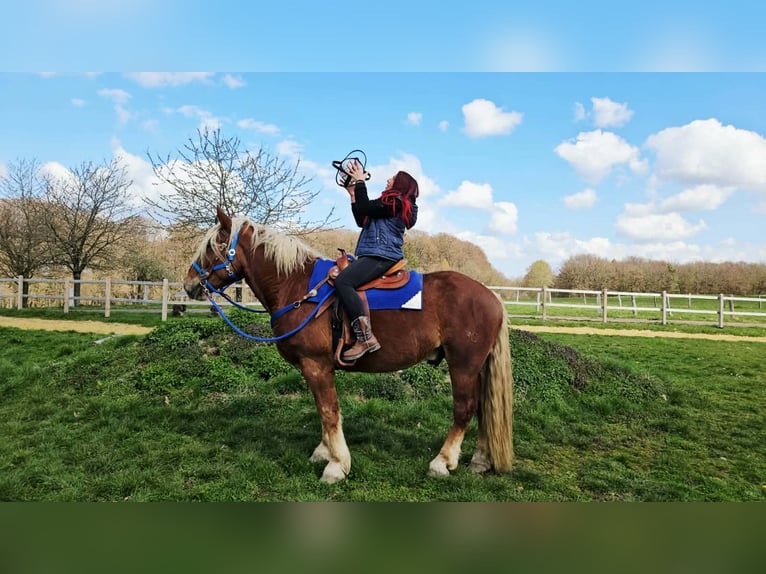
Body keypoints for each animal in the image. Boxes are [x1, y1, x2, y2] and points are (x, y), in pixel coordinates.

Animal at [183, 206, 513, 484]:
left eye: (212, 247)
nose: (189, 285)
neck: (297, 285)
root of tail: (491, 296)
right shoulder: (315, 368)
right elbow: (323, 410)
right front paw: (324, 452)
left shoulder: (316, 364)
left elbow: (329, 411)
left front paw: (337, 464)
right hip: (477, 368)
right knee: (484, 408)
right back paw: (480, 460)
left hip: (463, 366)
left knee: (465, 409)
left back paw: (442, 462)